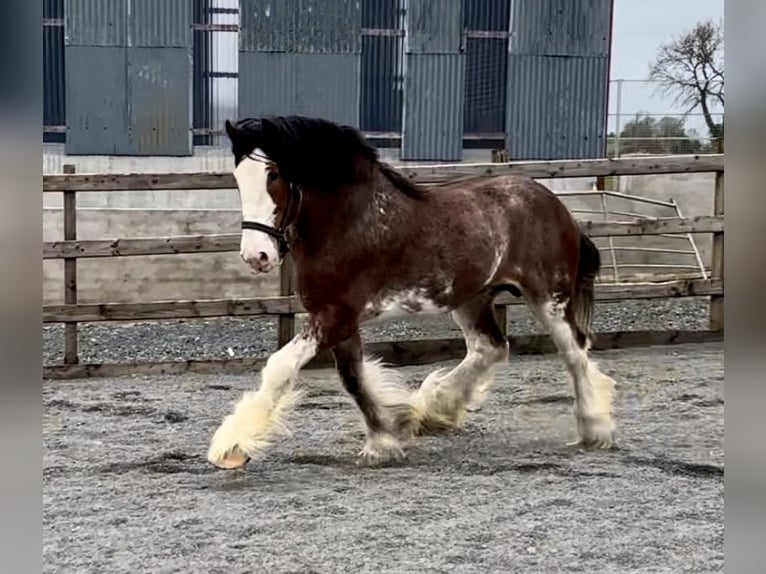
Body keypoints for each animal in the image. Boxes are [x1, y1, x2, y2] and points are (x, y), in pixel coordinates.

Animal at [206, 115, 616, 470]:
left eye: (273, 174)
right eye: (238, 177)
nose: (256, 256)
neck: (350, 222)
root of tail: (557, 206)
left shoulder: (335, 317)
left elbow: (281, 367)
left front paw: (232, 447)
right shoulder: (339, 318)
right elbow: (354, 379)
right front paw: (385, 439)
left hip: (549, 296)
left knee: (574, 351)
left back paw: (594, 428)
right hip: (472, 298)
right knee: (490, 348)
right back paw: (434, 411)